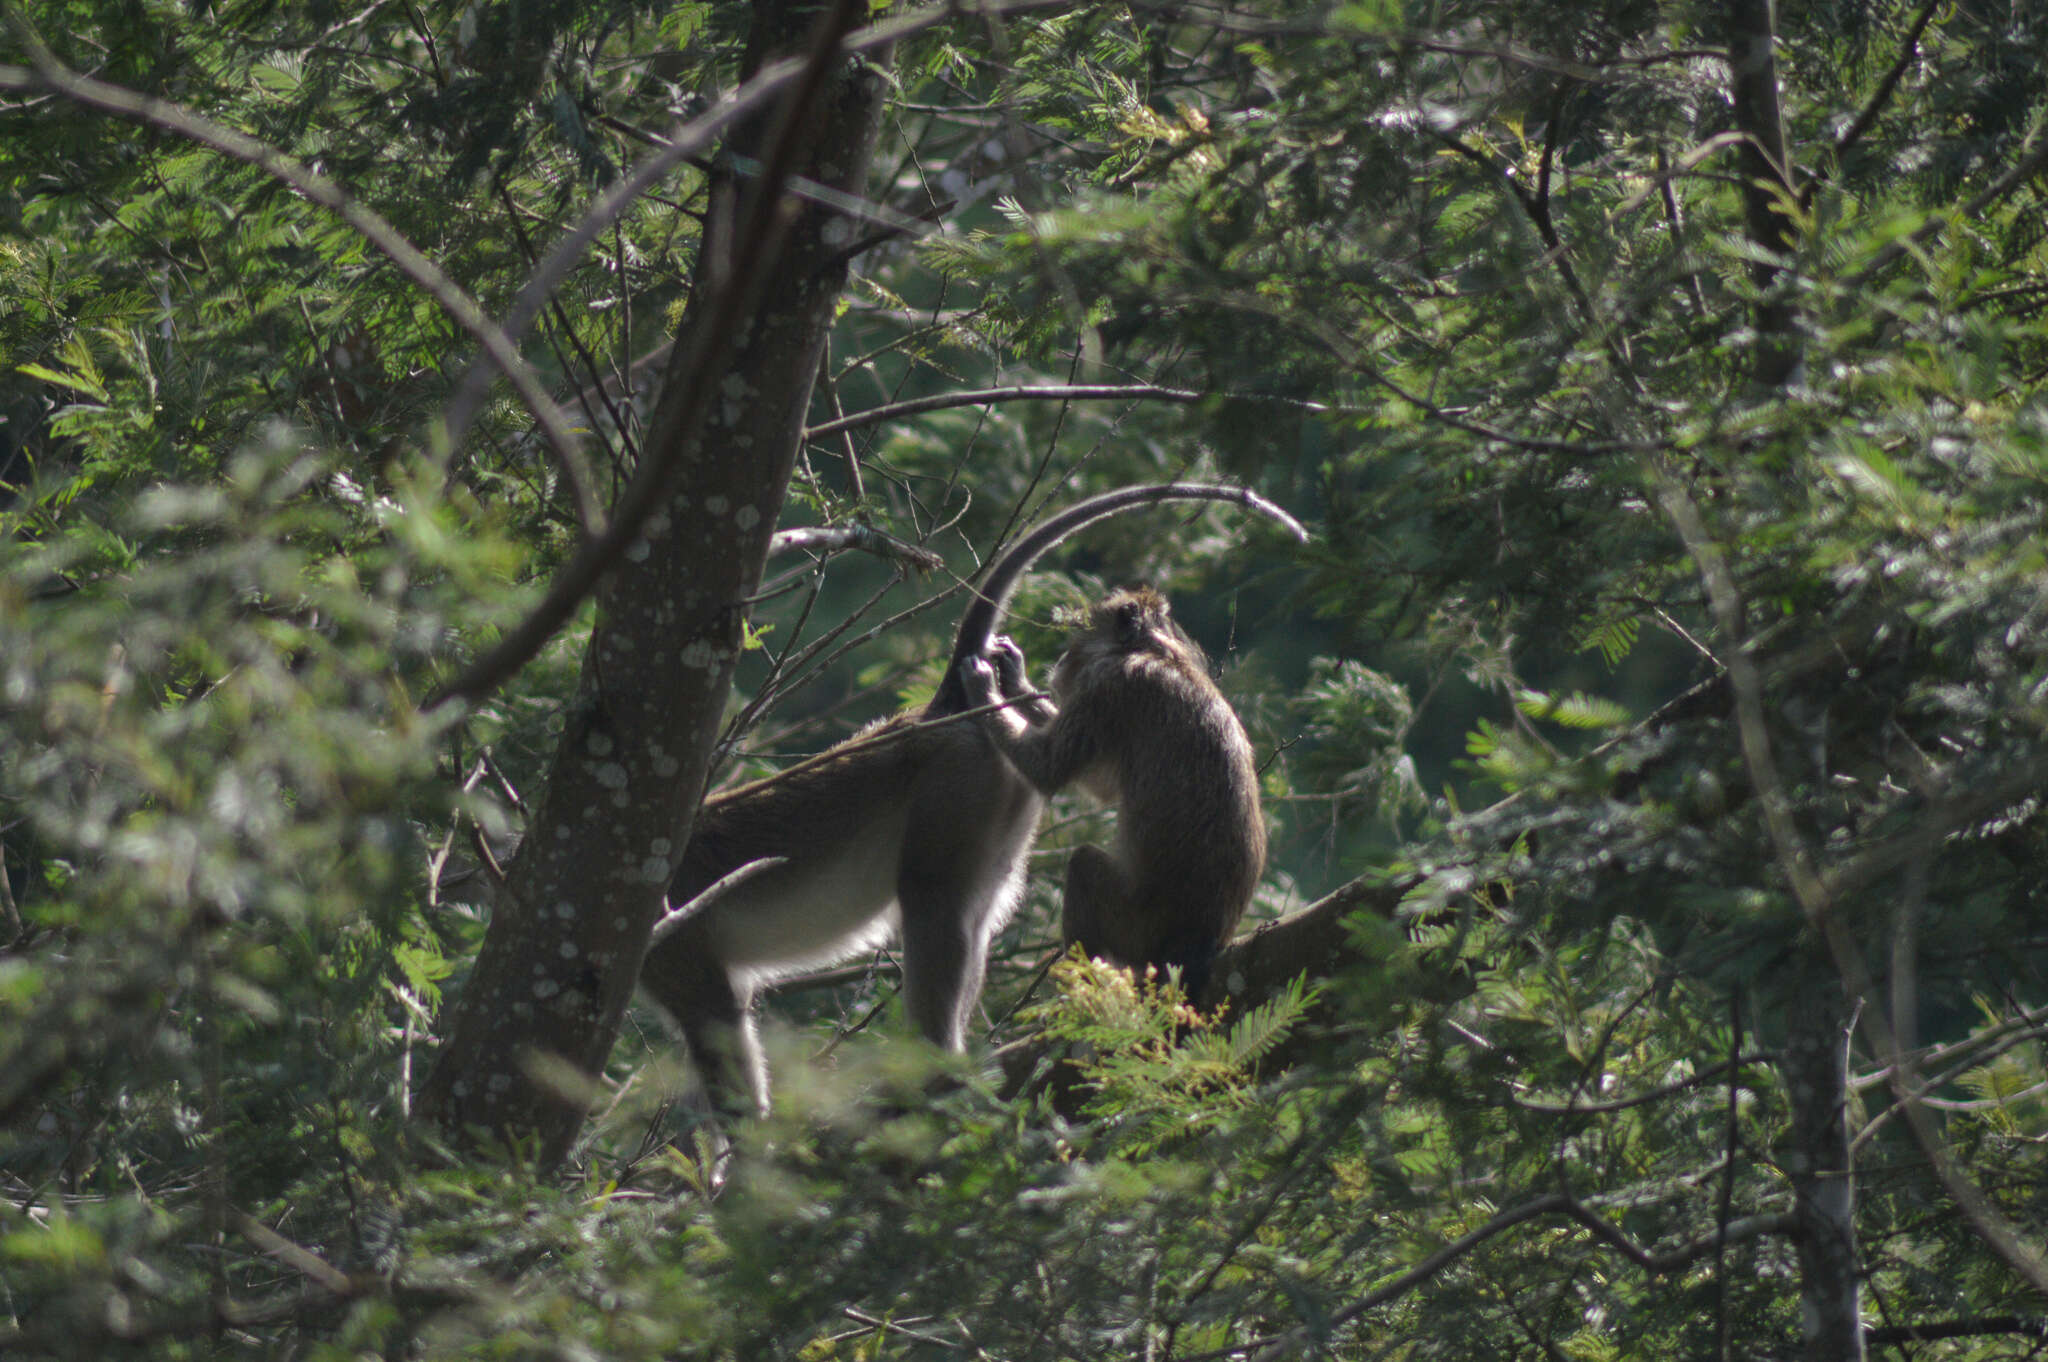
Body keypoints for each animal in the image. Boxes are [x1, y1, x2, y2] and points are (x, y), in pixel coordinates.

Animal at [958, 585, 1261, 999]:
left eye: (1079, 636)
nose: (1063, 659)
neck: (1156, 651)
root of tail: (1201, 939)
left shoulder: (1110, 684)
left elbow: (1049, 769)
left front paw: (984, 689)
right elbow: (1099, 785)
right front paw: (1014, 677)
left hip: (1135, 925)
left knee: (1083, 863)